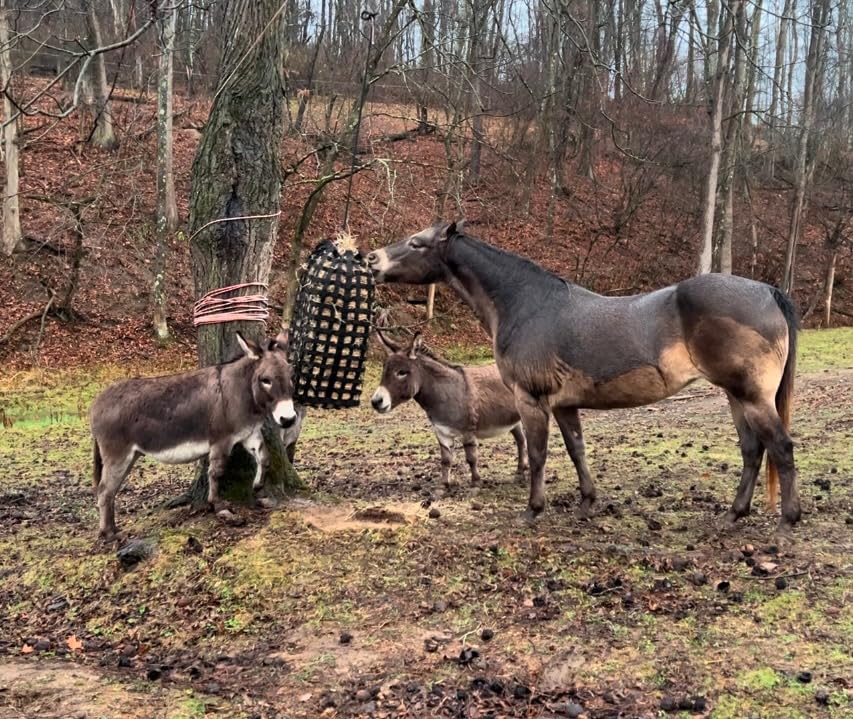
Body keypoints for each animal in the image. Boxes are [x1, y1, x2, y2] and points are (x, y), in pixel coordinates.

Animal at [90, 331, 297, 540]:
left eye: (291, 376)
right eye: (266, 380)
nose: (288, 420)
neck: (240, 392)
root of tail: (97, 403)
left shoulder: (249, 434)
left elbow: (265, 459)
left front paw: (259, 491)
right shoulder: (221, 440)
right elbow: (216, 471)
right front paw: (220, 508)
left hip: (131, 456)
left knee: (111, 489)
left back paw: (112, 529)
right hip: (117, 454)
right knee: (104, 490)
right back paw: (109, 534)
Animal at [371, 329, 528, 487]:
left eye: (402, 372)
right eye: (384, 371)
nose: (376, 402)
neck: (447, 393)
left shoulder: (468, 431)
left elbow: (471, 458)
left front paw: (476, 482)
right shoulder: (442, 433)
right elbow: (445, 460)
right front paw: (443, 485)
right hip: (514, 419)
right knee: (521, 440)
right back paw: (521, 469)